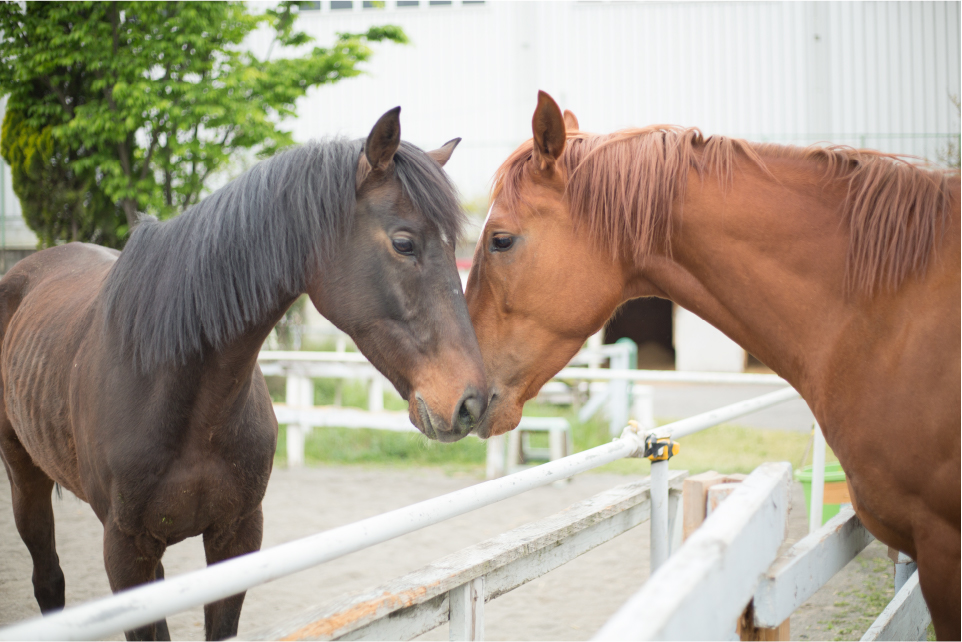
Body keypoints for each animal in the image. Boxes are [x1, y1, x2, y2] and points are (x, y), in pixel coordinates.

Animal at [0, 107, 487, 641]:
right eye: (404, 243)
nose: (473, 402)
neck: (180, 397)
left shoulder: (236, 538)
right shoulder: (125, 552)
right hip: (26, 480)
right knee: (48, 579)